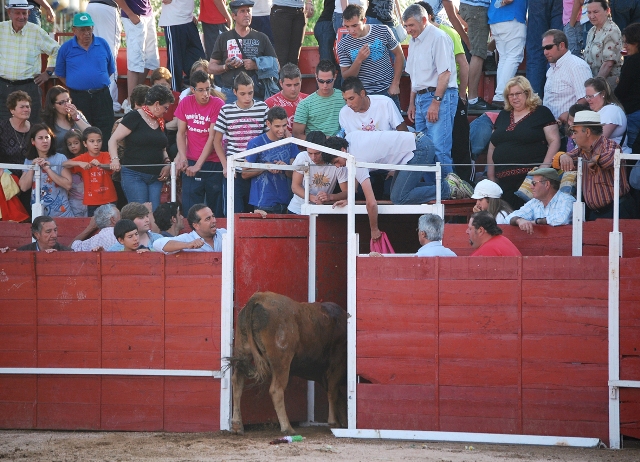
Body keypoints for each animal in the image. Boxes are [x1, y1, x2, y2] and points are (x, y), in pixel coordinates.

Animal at [230, 290, 348, 434]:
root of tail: (259, 297)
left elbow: (337, 394)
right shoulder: (338, 363)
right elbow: (333, 392)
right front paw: (334, 422)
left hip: (242, 352)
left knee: (237, 381)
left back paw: (237, 425)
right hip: (282, 360)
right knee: (276, 390)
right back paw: (287, 427)